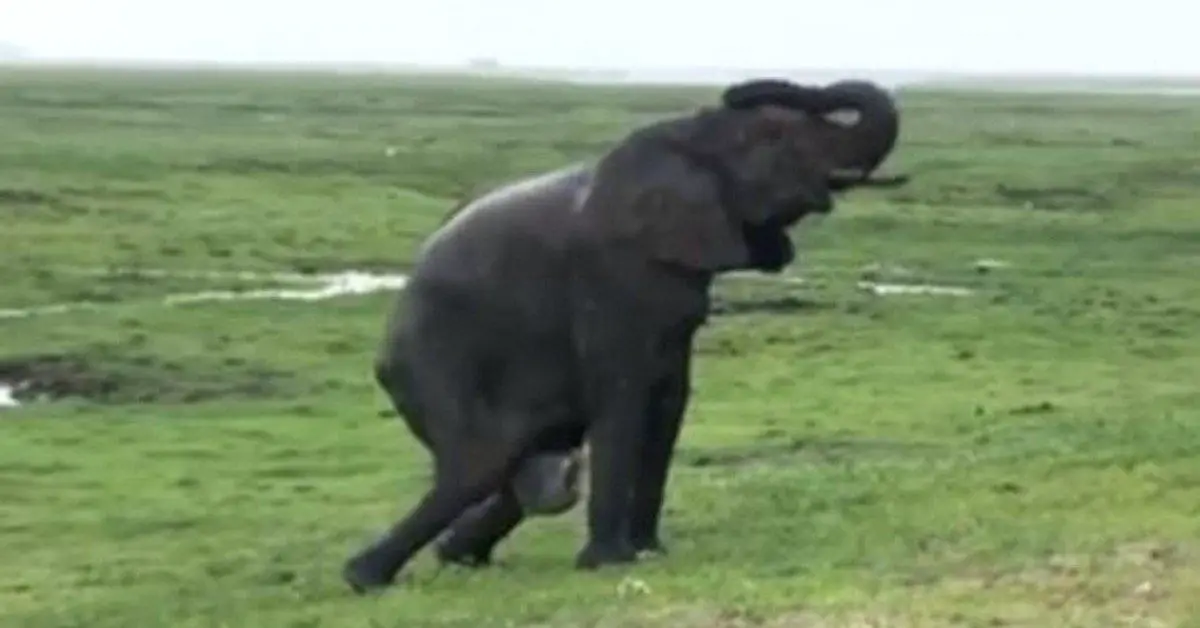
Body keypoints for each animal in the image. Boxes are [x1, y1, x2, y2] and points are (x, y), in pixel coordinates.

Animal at [342, 79, 911, 593]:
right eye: (773, 135)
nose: (735, 91)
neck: (684, 137)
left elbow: (669, 404)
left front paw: (649, 553)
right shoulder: (608, 277)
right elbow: (624, 398)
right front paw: (610, 563)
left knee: (533, 462)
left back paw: (457, 556)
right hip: (432, 361)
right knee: (483, 461)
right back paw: (365, 579)